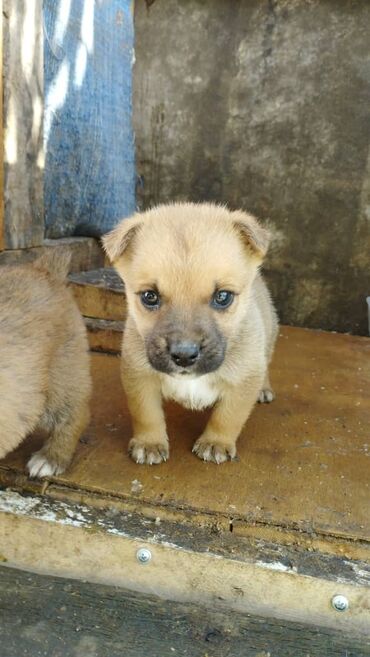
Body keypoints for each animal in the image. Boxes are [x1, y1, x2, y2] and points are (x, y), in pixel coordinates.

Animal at [103, 202, 278, 464]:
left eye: (223, 296)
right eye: (149, 296)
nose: (184, 356)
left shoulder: (243, 379)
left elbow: (227, 417)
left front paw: (215, 443)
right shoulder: (139, 376)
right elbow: (146, 414)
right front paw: (149, 443)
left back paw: (264, 390)